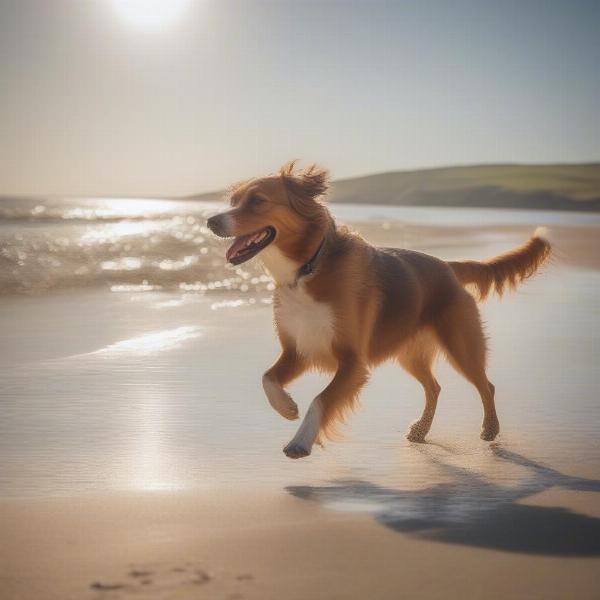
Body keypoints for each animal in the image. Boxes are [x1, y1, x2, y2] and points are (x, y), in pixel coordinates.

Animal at [207, 163, 552, 460]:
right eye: (233, 201)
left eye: (257, 201)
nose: (210, 221)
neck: (309, 268)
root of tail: (447, 265)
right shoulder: (298, 350)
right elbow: (267, 378)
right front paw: (287, 407)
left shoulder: (352, 362)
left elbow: (321, 399)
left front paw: (300, 441)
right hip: (410, 353)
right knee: (434, 387)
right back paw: (421, 430)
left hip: (460, 345)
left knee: (485, 385)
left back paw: (490, 428)